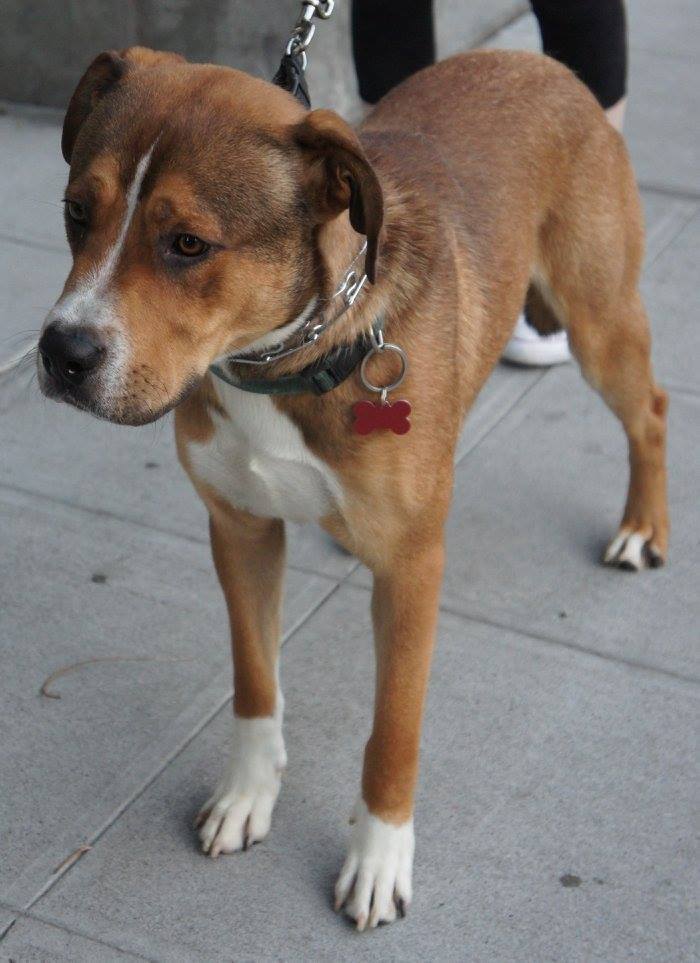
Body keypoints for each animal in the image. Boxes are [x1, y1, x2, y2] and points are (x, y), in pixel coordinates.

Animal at [37, 47, 668, 932]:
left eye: (188, 244)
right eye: (75, 212)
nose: (61, 353)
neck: (278, 362)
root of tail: (533, 59)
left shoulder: (411, 573)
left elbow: (392, 735)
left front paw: (379, 857)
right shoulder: (240, 530)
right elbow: (255, 681)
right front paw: (247, 794)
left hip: (598, 318)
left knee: (651, 410)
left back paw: (644, 524)